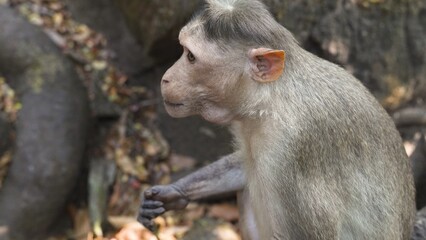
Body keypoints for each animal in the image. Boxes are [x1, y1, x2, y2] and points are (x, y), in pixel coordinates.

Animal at [137, 0, 416, 238]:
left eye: (191, 57)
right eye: (184, 50)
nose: (166, 78)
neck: (269, 102)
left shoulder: (293, 153)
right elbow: (243, 163)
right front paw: (173, 192)